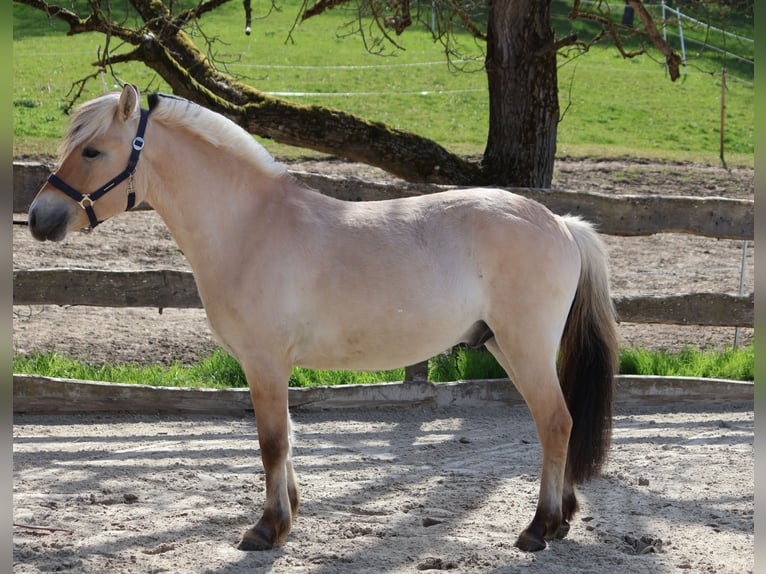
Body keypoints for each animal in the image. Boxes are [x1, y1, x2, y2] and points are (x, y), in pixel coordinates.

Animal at [28, 83, 619, 553]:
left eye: (93, 150)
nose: (38, 219)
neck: (250, 225)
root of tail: (561, 223)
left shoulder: (265, 360)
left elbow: (271, 441)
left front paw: (267, 529)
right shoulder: (269, 365)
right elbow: (286, 436)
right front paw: (287, 514)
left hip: (524, 346)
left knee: (555, 422)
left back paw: (540, 528)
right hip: (504, 346)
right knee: (558, 422)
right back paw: (563, 519)